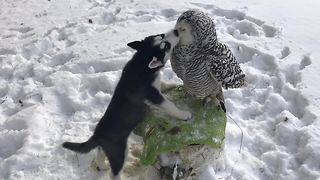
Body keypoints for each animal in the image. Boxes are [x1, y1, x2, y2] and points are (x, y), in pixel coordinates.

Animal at [63, 30, 191, 179]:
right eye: (166, 46)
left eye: (160, 36)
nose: (176, 31)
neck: (141, 62)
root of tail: (97, 135)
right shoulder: (152, 95)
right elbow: (169, 104)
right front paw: (184, 114)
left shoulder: (155, 87)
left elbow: (163, 84)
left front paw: (173, 84)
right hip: (119, 151)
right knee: (114, 173)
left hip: (108, 149)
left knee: (99, 154)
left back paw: (102, 165)